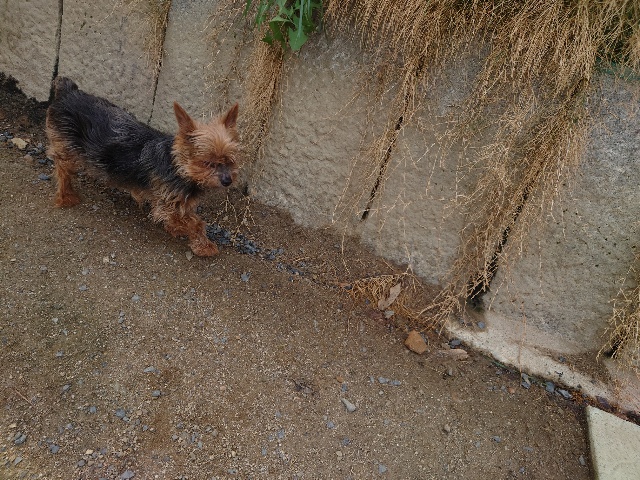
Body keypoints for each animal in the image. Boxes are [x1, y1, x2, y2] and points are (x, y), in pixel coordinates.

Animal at [46, 77, 240, 256]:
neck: (177, 167)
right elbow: (195, 223)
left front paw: (182, 233)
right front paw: (204, 246)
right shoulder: (166, 208)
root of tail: (68, 91)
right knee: (62, 171)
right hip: (66, 150)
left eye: (231, 160)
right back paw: (66, 197)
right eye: (208, 163)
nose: (227, 181)